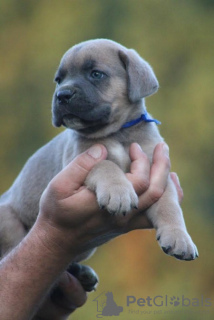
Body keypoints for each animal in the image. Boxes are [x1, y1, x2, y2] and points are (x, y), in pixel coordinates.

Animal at [0, 38, 197, 292]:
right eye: (59, 80)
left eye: (96, 74)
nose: (62, 95)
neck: (118, 133)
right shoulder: (83, 158)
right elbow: (106, 166)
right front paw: (118, 192)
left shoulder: (158, 172)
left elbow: (170, 206)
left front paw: (179, 238)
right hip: (8, 221)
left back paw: (83, 275)